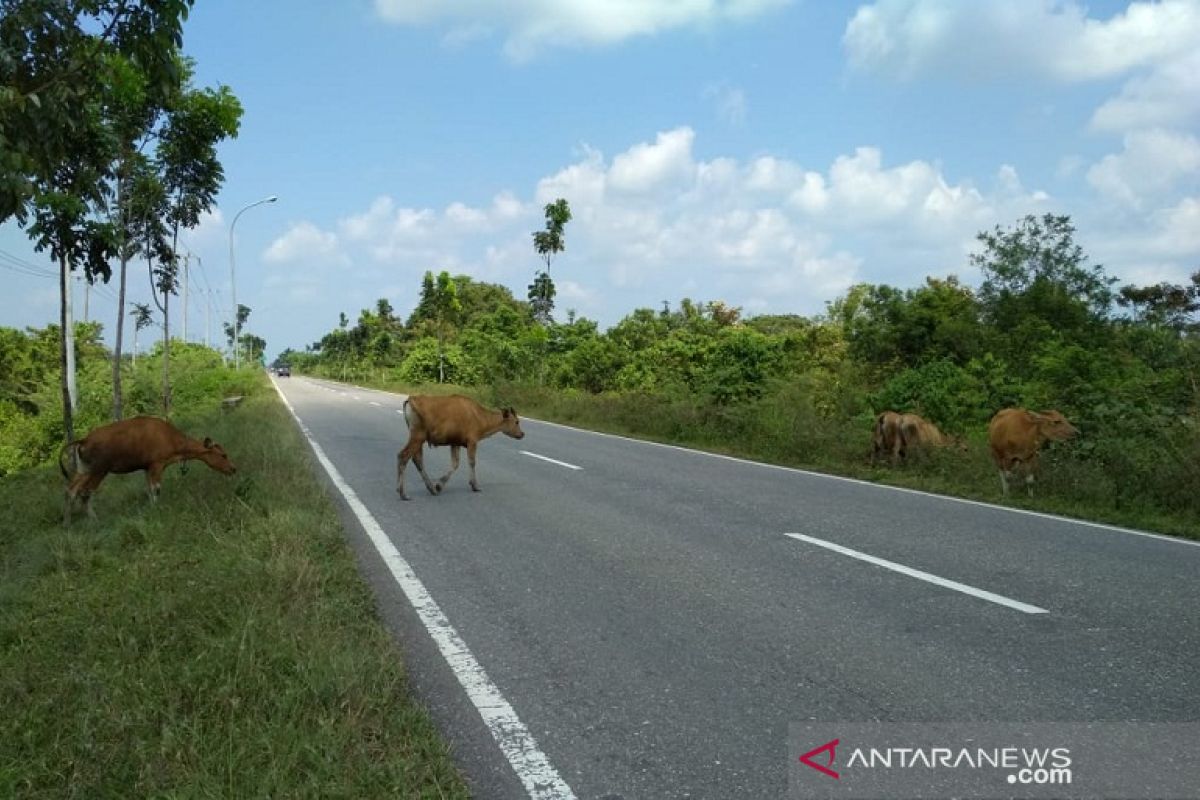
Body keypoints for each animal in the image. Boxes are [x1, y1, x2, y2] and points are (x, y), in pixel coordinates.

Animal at [59, 417, 237, 527]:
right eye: (223, 455)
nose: (233, 468)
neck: (172, 442)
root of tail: (84, 440)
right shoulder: (157, 464)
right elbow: (156, 489)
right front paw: (157, 509)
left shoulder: (147, 467)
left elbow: (149, 490)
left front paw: (151, 508)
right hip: (99, 470)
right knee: (85, 492)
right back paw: (94, 520)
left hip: (83, 470)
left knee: (70, 490)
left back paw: (67, 523)